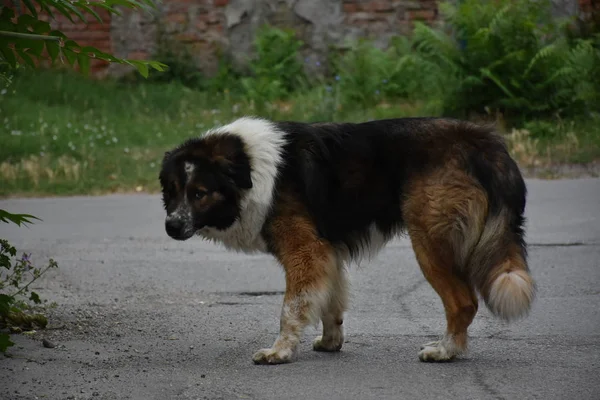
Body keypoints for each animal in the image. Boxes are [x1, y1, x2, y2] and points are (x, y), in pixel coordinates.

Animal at [158, 116, 536, 366]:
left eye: (200, 193)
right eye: (172, 190)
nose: (171, 226)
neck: (250, 168)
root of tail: (482, 141)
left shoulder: (306, 252)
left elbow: (291, 308)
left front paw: (280, 351)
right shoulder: (327, 253)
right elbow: (330, 304)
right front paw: (331, 342)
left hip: (428, 242)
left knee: (463, 302)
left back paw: (446, 351)